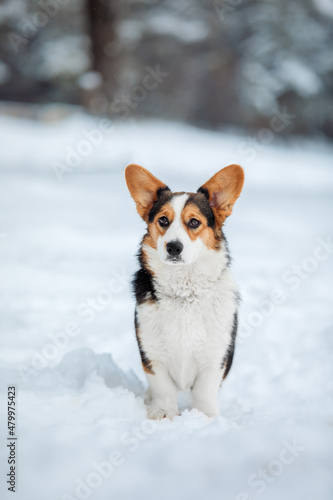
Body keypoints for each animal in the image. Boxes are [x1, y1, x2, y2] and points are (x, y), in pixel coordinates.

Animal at [124, 163, 244, 418]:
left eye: (194, 222)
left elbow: (204, 393)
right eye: (163, 220)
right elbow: (163, 389)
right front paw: (162, 415)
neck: (184, 292)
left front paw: (204, 418)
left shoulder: (214, 358)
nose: (173, 247)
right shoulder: (152, 355)